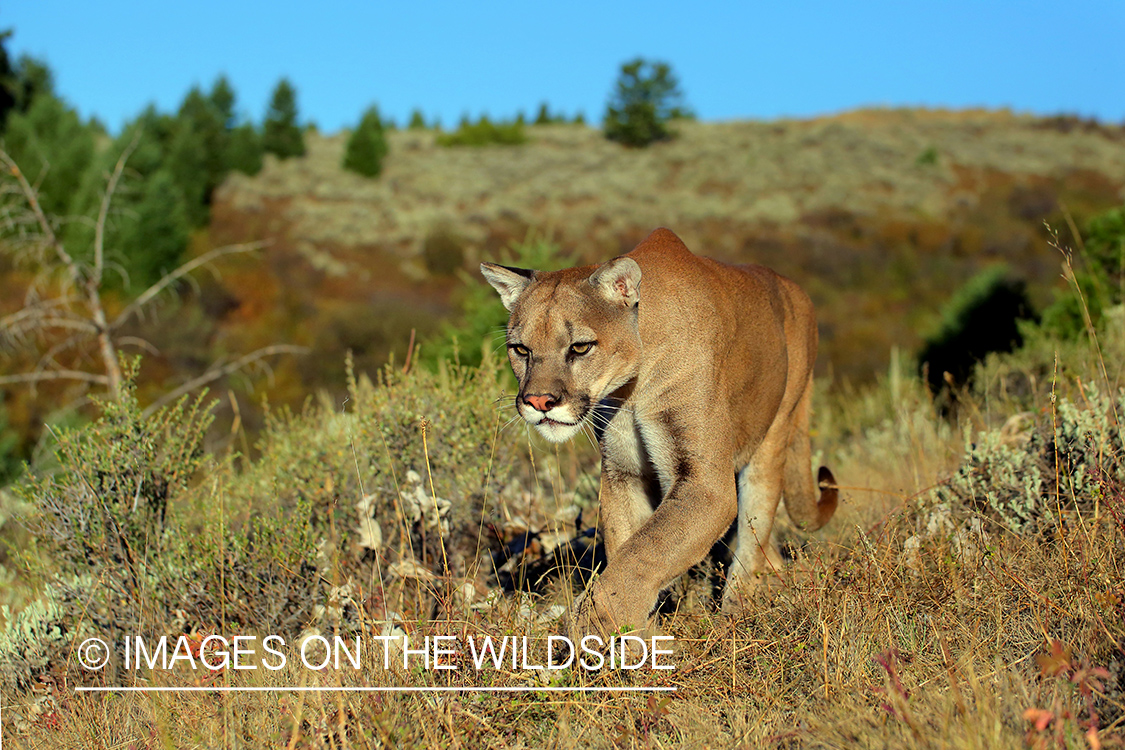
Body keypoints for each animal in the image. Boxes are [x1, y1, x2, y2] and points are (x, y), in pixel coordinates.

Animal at [479, 226, 841, 638]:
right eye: (520, 349)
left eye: (580, 347)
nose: (539, 401)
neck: (632, 387)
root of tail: (796, 289)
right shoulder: (623, 473)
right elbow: (629, 546)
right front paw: (636, 637)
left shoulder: (704, 484)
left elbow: (645, 553)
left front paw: (597, 622)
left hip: (772, 438)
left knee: (754, 542)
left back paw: (735, 618)